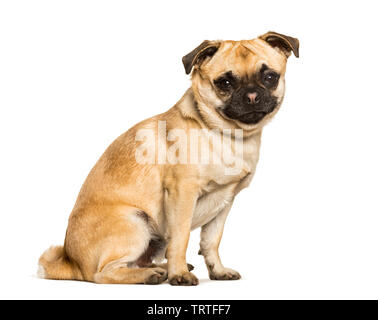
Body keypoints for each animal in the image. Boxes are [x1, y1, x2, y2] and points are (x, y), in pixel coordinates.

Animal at [38, 30, 298, 284]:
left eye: (270, 77)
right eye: (224, 83)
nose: (252, 95)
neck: (228, 134)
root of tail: (72, 263)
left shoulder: (224, 202)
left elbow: (211, 242)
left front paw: (217, 270)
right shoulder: (183, 193)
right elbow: (180, 239)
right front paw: (179, 274)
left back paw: (159, 269)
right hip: (135, 221)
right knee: (104, 274)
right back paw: (151, 275)